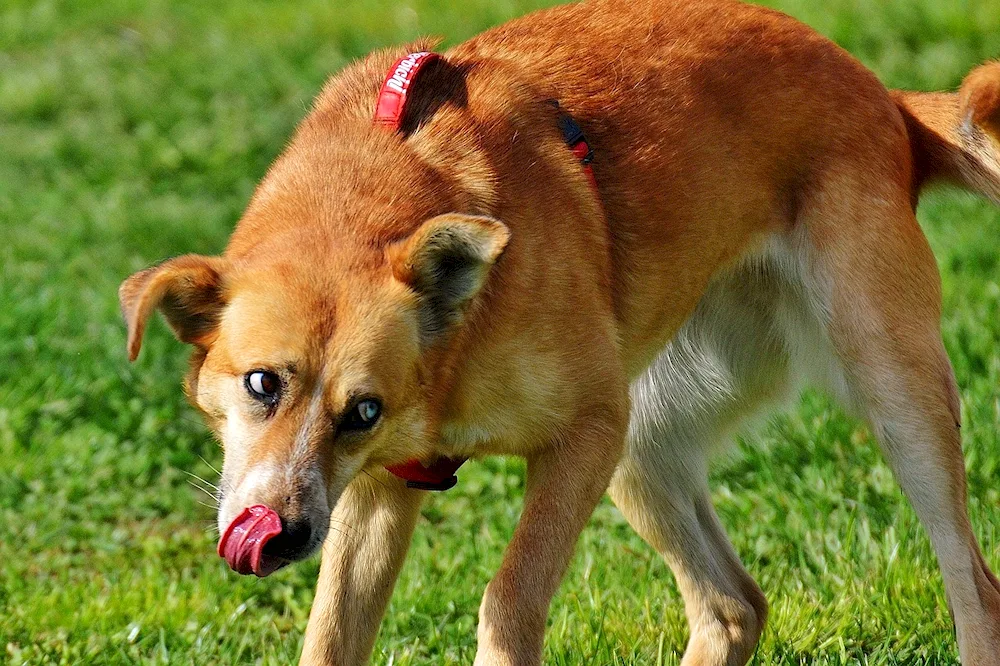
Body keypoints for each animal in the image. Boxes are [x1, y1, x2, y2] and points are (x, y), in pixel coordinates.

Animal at [119, 0, 1000, 660]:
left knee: (975, 591)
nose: (282, 535)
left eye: (362, 410)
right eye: (261, 384)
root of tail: (883, 95)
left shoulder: (584, 433)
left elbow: (509, 594)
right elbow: (333, 632)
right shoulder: (376, 494)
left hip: (894, 395)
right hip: (647, 446)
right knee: (732, 607)